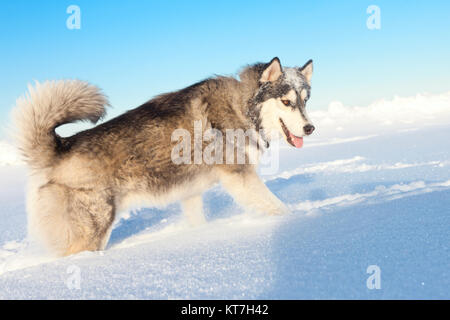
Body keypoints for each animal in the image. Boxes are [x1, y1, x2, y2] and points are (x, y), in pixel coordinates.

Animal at [13, 57, 312, 256]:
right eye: (286, 101)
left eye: (305, 100)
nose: (310, 128)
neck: (242, 106)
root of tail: (61, 146)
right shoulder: (240, 177)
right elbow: (277, 206)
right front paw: (300, 218)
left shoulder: (191, 192)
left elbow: (198, 220)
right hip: (93, 228)